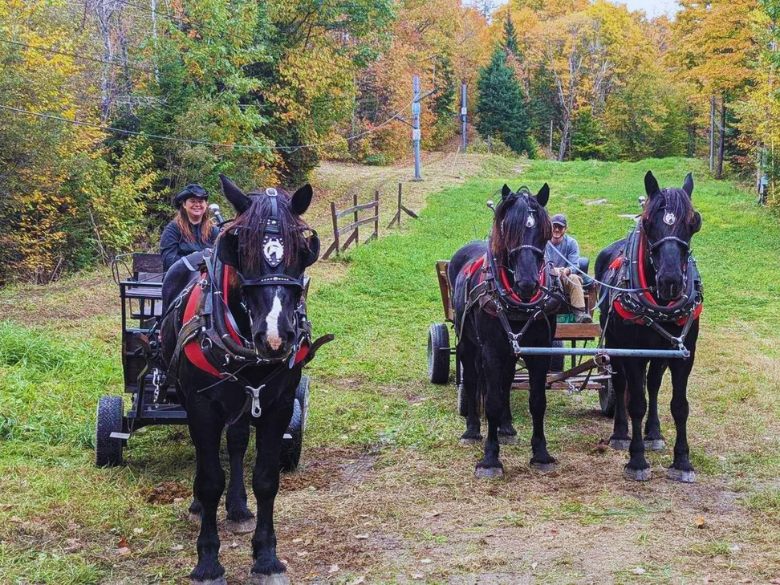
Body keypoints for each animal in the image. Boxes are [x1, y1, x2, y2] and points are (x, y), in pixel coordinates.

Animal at [160, 176, 322, 580]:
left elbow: (265, 478)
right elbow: (208, 480)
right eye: (242, 249)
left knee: (234, 441)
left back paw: (237, 507)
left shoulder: (278, 403)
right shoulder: (202, 406)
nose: (276, 336)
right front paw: (207, 561)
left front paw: (265, 556)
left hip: (244, 401)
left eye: (302, 250)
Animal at [450, 185, 560, 476]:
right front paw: (490, 458)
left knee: (506, 381)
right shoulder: (490, 352)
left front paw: (541, 453)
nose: (527, 283)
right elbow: (492, 401)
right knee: (473, 379)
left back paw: (507, 426)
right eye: (508, 229)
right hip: (467, 343)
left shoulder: (540, 351)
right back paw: (472, 430)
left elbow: (537, 401)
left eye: (544, 231)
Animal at [596, 171, 700, 482]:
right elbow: (636, 403)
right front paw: (637, 460)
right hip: (615, 344)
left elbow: (679, 405)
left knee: (653, 384)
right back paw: (620, 434)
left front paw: (682, 461)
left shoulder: (683, 353)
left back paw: (653, 433)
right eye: (648, 223)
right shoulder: (632, 352)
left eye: (693, 223)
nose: (670, 281)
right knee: (620, 384)